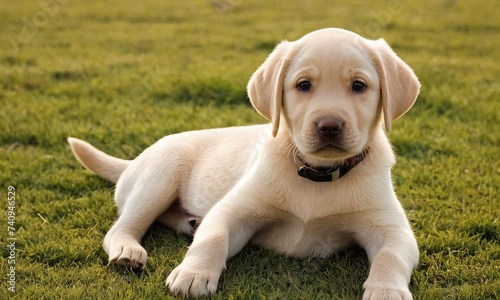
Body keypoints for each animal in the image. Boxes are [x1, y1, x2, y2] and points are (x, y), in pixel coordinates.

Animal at [68, 27, 420, 298]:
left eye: (359, 86)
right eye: (303, 85)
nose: (329, 126)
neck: (316, 175)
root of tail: (132, 162)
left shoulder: (393, 229)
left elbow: (390, 256)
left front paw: (387, 290)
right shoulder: (233, 210)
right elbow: (214, 237)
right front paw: (193, 274)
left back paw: (189, 222)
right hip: (158, 179)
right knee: (122, 227)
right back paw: (129, 250)